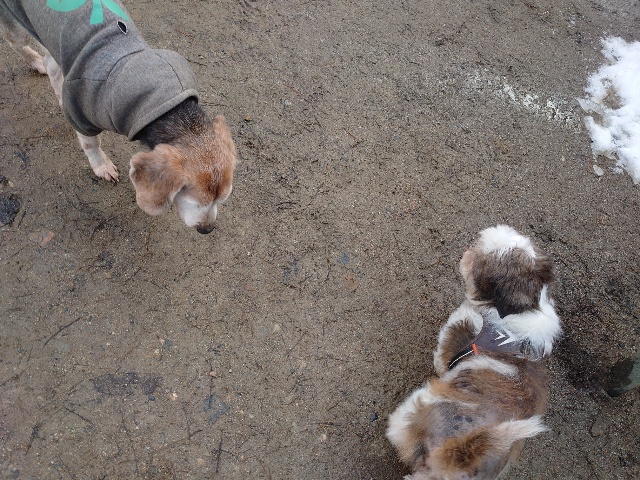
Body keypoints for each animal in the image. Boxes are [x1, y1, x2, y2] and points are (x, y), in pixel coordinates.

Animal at [0, 0, 236, 234]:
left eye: (222, 199)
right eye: (194, 200)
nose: (207, 229)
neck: (169, 107)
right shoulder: (82, 113)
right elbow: (91, 145)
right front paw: (101, 166)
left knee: (52, 63)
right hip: (17, 24)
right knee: (16, 43)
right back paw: (35, 62)